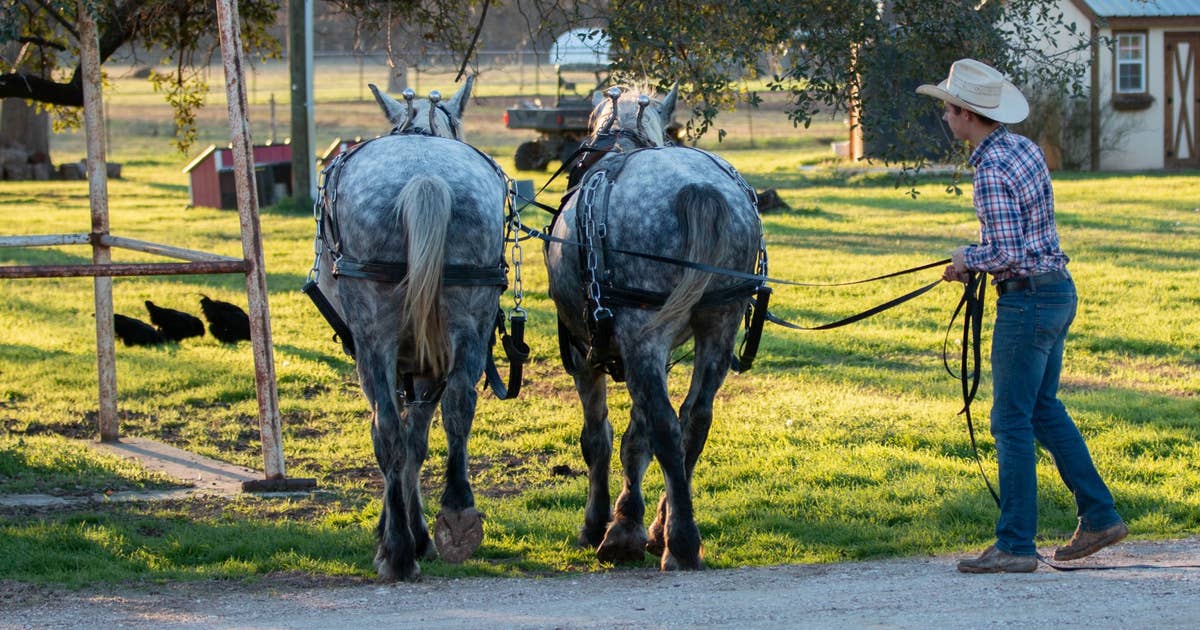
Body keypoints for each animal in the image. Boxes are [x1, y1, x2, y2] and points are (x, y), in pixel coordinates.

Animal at [312, 78, 508, 580]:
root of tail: (424, 178)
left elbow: (400, 438)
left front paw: (401, 532)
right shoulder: (427, 363)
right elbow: (419, 438)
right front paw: (424, 532)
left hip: (373, 340)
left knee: (385, 430)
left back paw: (397, 550)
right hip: (470, 320)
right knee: (459, 407)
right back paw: (457, 517)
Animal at [547, 84, 763, 568]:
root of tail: (698, 189)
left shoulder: (584, 354)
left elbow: (599, 438)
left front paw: (601, 525)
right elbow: (636, 437)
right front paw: (634, 520)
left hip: (640, 335)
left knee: (666, 425)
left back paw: (674, 542)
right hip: (720, 322)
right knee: (693, 421)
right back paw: (668, 526)